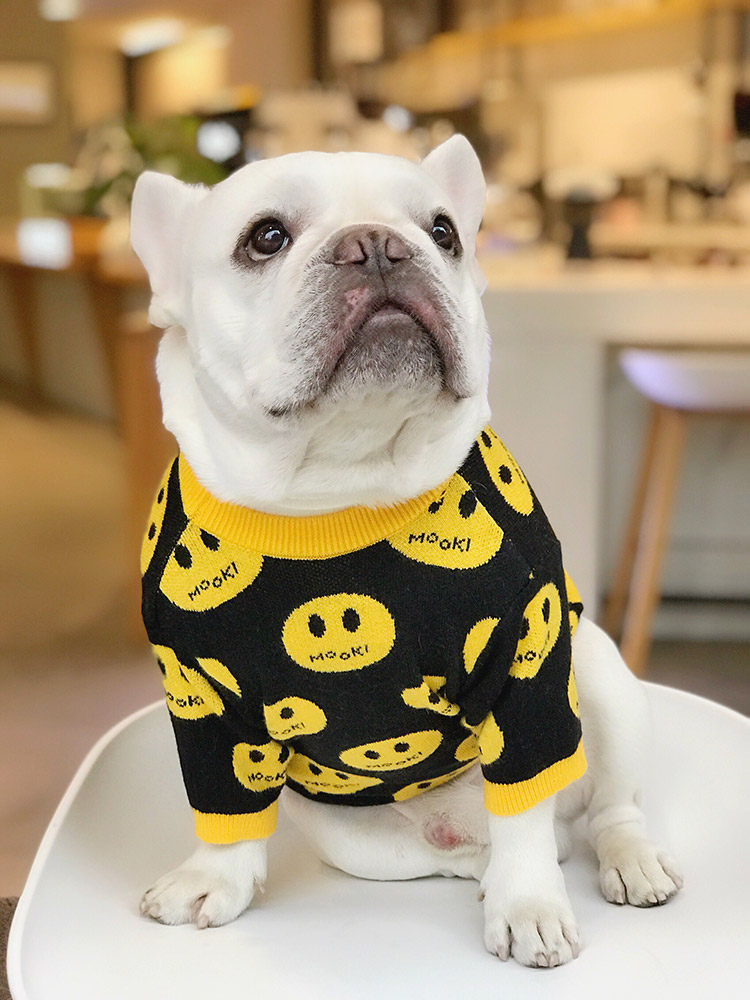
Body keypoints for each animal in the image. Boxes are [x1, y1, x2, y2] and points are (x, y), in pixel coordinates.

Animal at [130, 135, 682, 968]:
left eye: (444, 231)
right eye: (265, 237)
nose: (378, 245)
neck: (337, 490)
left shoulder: (524, 667)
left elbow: (525, 794)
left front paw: (529, 906)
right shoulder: (201, 703)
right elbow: (225, 803)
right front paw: (211, 876)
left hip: (599, 677)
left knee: (597, 808)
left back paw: (624, 860)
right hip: (346, 833)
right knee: (472, 848)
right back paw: (483, 868)